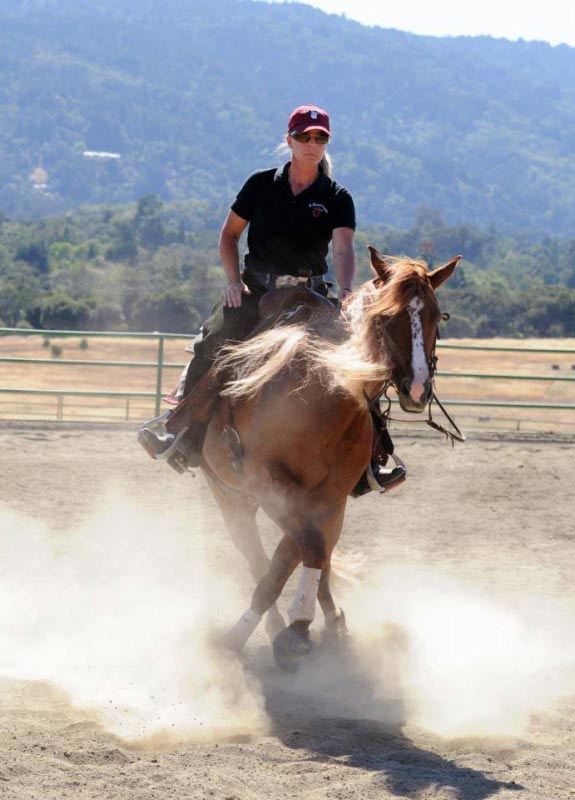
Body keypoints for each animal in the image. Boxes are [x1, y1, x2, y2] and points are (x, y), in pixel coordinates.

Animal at [192, 248, 460, 668]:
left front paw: (306, 625)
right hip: (228, 494)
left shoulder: (329, 497)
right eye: (386, 317)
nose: (417, 388)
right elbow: (295, 554)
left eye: (436, 314)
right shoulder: (269, 484)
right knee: (254, 554)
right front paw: (269, 631)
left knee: (313, 554)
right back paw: (269, 626)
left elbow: (301, 553)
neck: (321, 398)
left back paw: (330, 623)